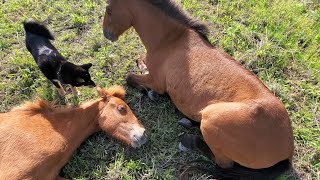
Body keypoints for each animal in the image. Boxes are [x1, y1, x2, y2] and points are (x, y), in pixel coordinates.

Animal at [102, 0, 296, 179]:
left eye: (109, 9)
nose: (106, 34)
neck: (171, 40)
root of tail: (286, 153)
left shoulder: (156, 82)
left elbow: (130, 78)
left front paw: (151, 92)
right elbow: (139, 62)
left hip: (211, 118)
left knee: (222, 163)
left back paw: (188, 140)